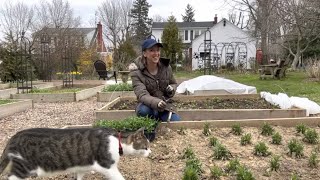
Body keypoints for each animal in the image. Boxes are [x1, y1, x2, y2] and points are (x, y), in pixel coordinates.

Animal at [0, 127, 151, 179]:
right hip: (24, 167)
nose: (150, 152)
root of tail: (13, 138)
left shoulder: (82, 167)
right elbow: (119, 177)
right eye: (145, 147)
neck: (117, 141)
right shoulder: (107, 166)